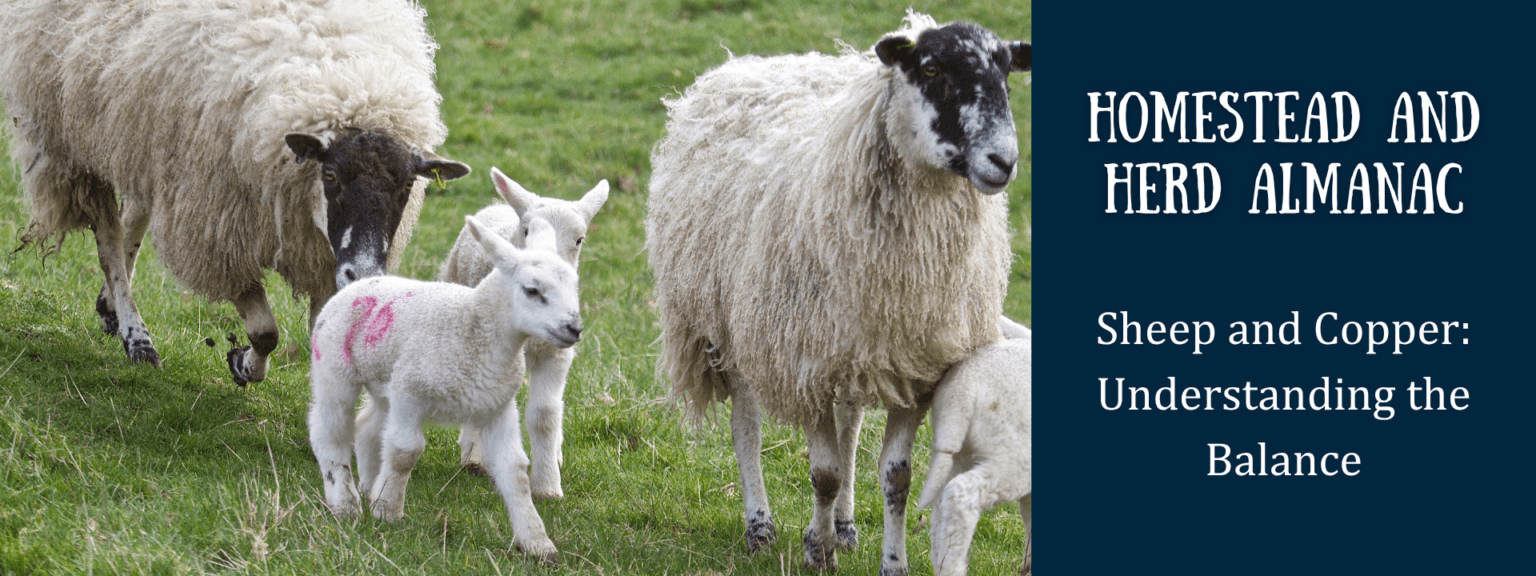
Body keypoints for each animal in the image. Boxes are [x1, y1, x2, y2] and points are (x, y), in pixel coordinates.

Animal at [0, 0, 469, 384]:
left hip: (141, 139)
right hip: (69, 141)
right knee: (109, 242)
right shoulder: (219, 233)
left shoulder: (321, 256)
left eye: (407, 184)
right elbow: (265, 332)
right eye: (331, 175)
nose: (367, 273)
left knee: (136, 214)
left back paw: (110, 308)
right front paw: (244, 364)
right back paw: (137, 337)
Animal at [307, 216, 581, 565]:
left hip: (386, 381)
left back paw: (369, 487)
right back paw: (345, 503)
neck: (473, 329)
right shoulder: (410, 394)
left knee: (368, 427)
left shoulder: (497, 404)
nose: (574, 329)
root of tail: (359, 285)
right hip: (334, 369)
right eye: (532, 290)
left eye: (574, 287)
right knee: (329, 432)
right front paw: (388, 510)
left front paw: (537, 542)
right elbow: (405, 452)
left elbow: (515, 470)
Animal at [438, 167, 609, 498]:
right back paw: (473, 453)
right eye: (527, 231)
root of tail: (500, 206)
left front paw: (547, 485)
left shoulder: (556, 354)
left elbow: (545, 416)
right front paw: (482, 460)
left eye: (579, 239)